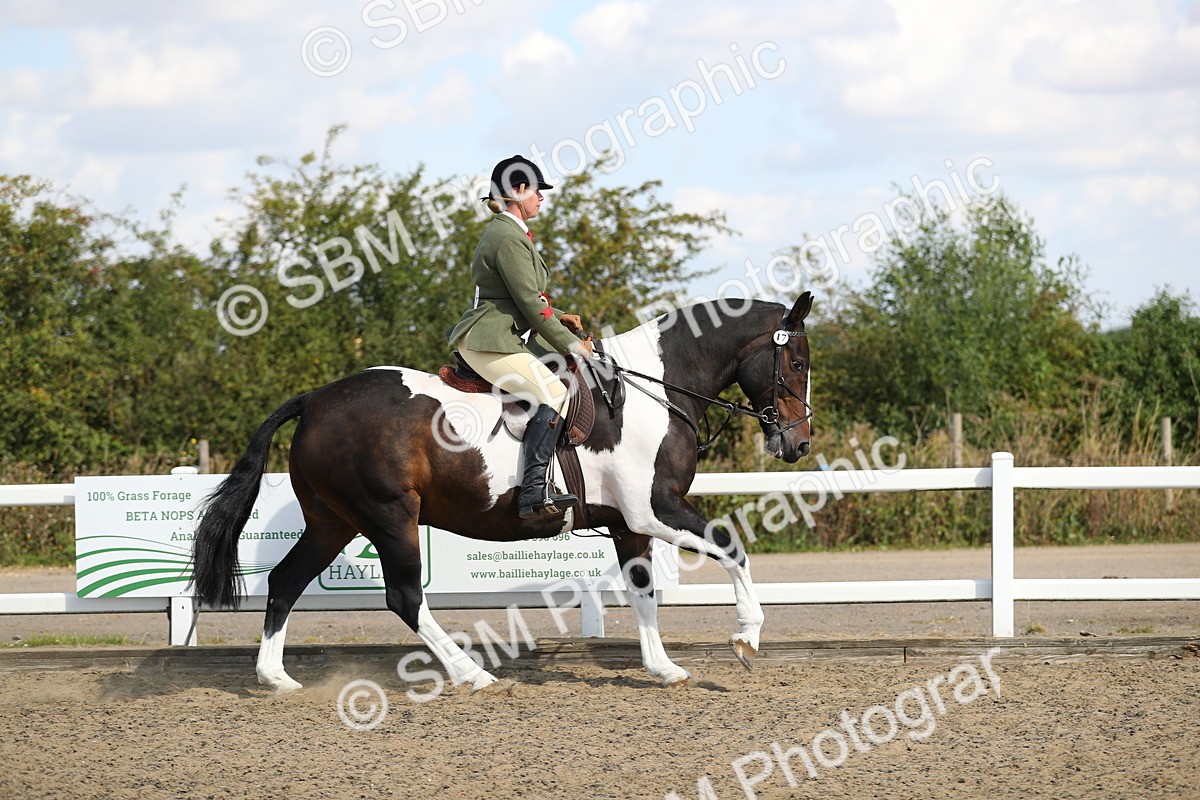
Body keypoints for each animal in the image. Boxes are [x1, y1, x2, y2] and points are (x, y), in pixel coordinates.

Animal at [191, 292, 813, 693]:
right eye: (797, 361)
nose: (799, 444)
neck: (654, 392)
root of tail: (317, 398)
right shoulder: (655, 510)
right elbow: (732, 548)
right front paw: (747, 639)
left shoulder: (629, 522)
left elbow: (643, 592)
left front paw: (663, 668)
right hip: (389, 517)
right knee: (403, 597)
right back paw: (472, 673)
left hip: (333, 522)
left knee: (285, 581)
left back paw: (276, 677)